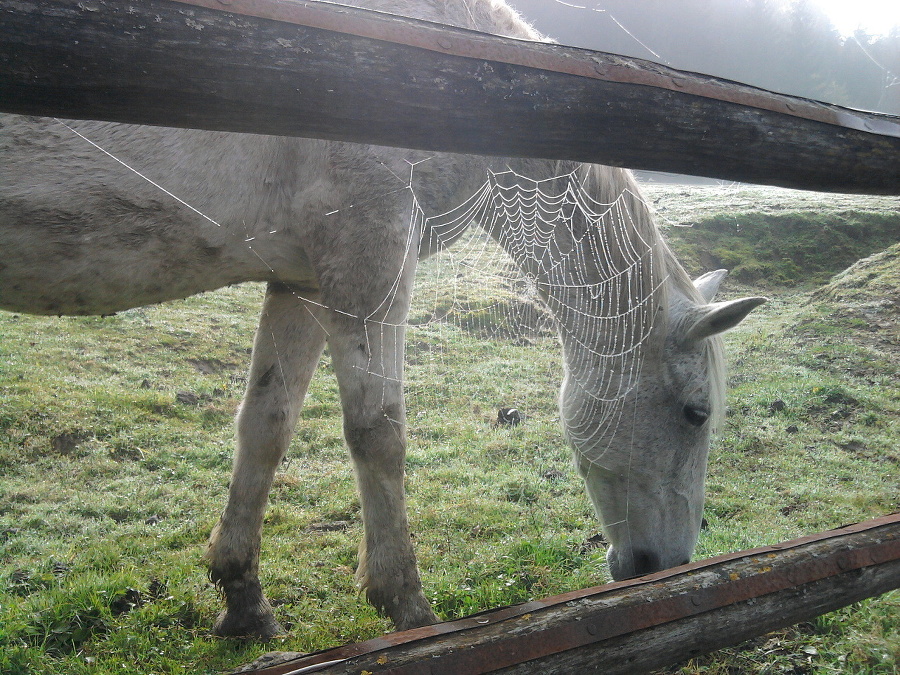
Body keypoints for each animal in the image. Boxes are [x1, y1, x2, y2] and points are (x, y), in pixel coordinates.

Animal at [0, 0, 768, 640]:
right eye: (696, 412)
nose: (667, 562)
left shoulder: (302, 279)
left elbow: (266, 425)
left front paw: (243, 595)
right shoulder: (367, 253)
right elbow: (379, 432)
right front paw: (407, 605)